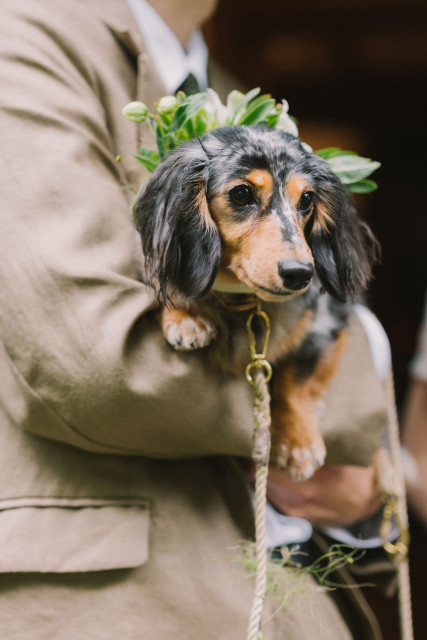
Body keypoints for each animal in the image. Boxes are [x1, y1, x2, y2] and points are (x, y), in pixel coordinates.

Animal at [134, 125, 378, 480]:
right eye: (241, 194)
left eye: (307, 199)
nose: (300, 274)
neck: (242, 299)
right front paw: (185, 317)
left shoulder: (325, 325)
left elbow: (297, 379)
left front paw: (298, 442)